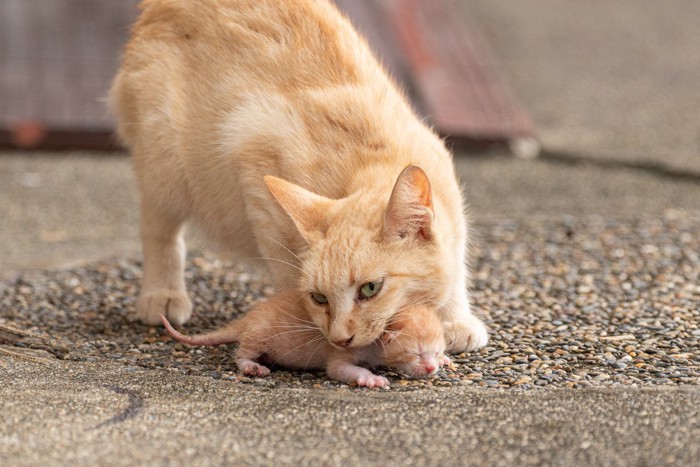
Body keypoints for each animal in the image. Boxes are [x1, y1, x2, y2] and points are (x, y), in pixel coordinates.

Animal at [112, 0, 490, 352]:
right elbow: (285, 270)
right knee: (159, 229)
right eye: (320, 297)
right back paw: (162, 293)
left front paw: (454, 319)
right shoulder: (254, 162)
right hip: (164, 163)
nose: (341, 338)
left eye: (371, 289)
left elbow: (455, 267)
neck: (371, 164)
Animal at [160, 292, 448, 388]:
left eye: (434, 351)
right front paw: (370, 378)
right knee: (241, 353)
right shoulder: (341, 349)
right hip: (260, 334)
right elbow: (339, 369)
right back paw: (252, 366)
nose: (431, 368)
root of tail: (249, 317)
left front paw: (446, 360)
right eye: (416, 352)